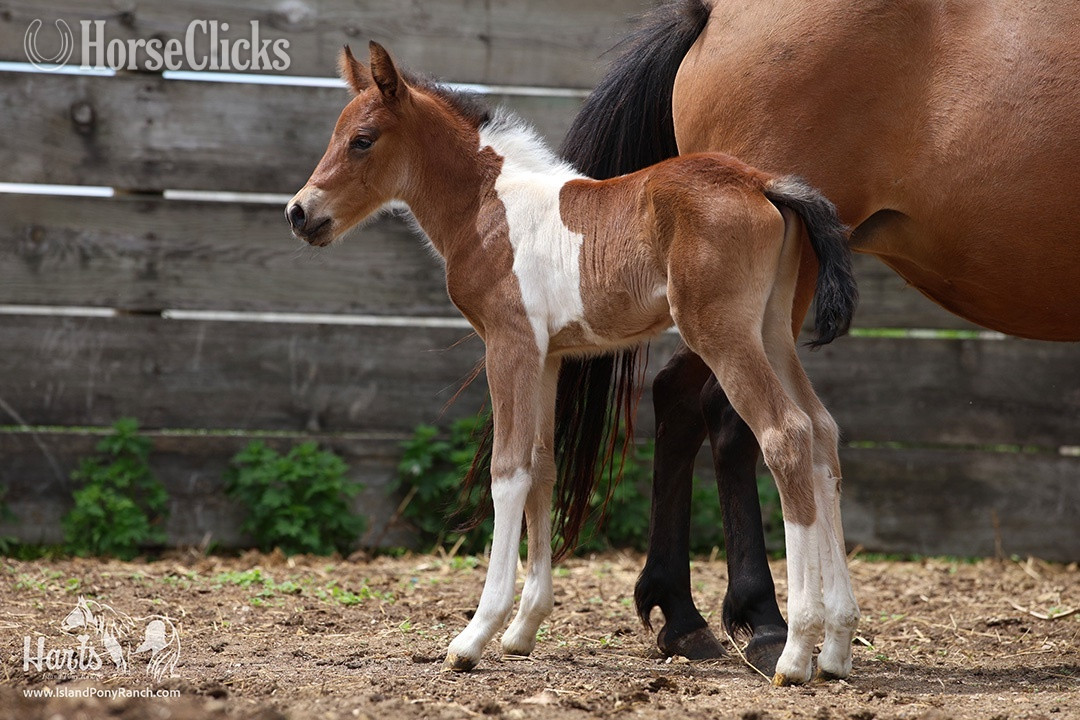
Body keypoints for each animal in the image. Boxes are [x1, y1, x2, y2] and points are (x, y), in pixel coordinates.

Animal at [287, 41, 860, 685]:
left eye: (362, 139)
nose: (300, 213)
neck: (490, 207)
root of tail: (764, 183)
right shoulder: (548, 356)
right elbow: (543, 466)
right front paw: (523, 629)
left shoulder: (509, 343)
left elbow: (508, 471)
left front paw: (474, 636)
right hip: (773, 332)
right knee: (822, 434)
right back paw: (836, 648)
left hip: (724, 333)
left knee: (785, 434)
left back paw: (794, 651)